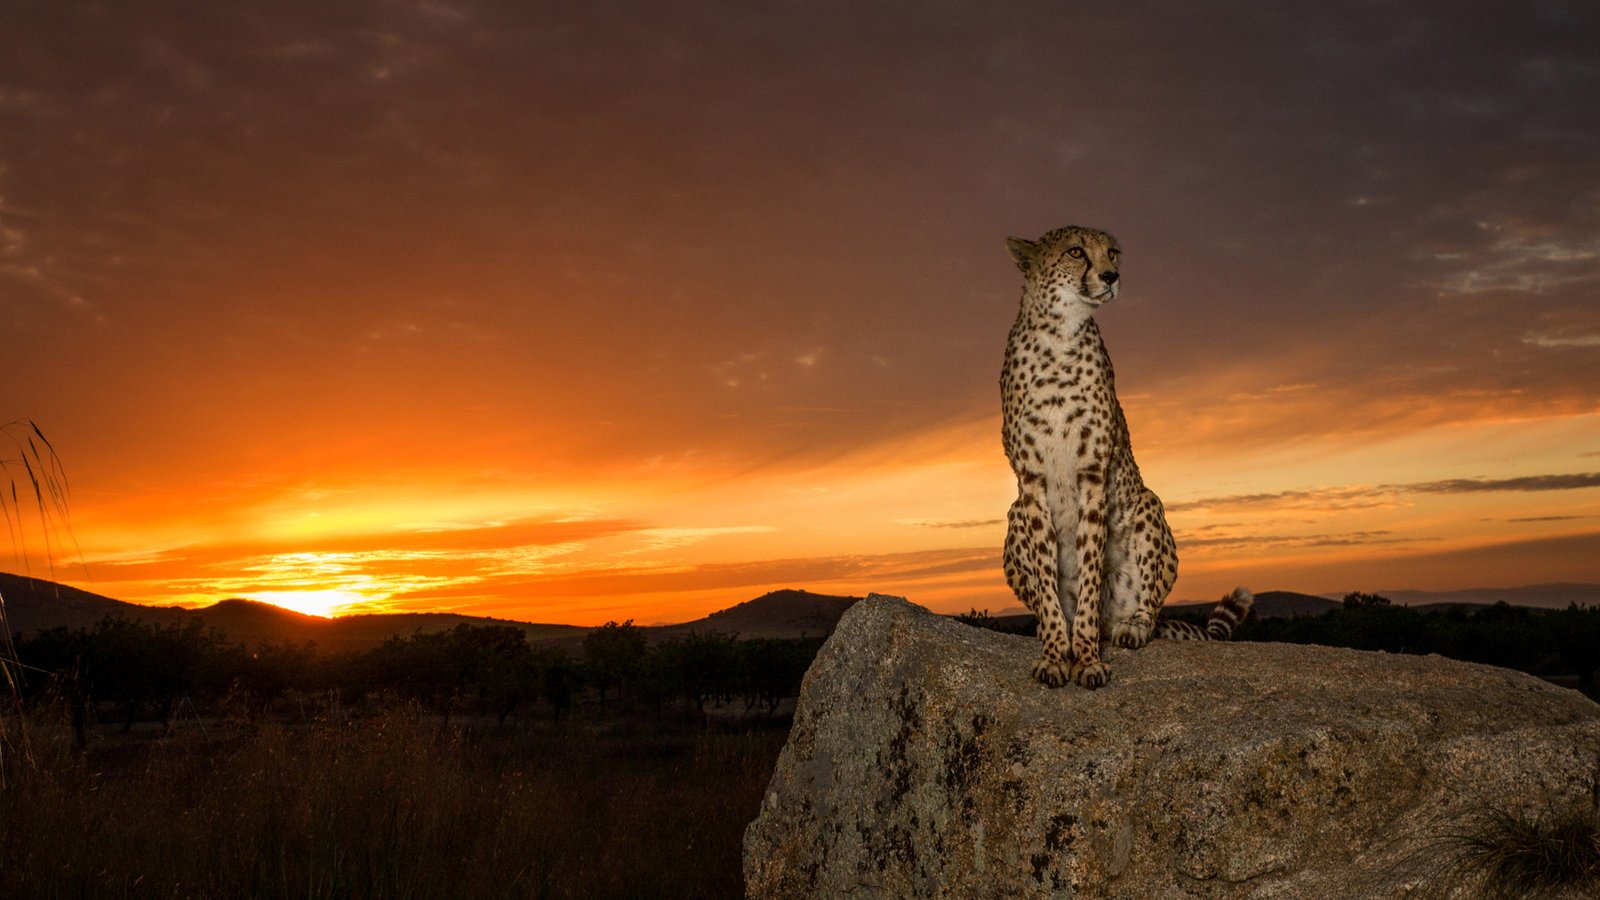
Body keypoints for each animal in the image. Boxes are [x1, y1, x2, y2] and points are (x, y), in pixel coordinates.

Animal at [998, 224, 1248, 685]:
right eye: (1076, 252)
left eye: (1112, 252)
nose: (1112, 276)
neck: (1059, 335)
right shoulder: (1031, 482)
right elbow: (1046, 578)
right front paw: (1056, 653)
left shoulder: (1093, 474)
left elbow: (1090, 565)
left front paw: (1087, 659)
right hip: (1013, 514)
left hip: (1147, 504)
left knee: (1143, 608)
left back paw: (1130, 627)